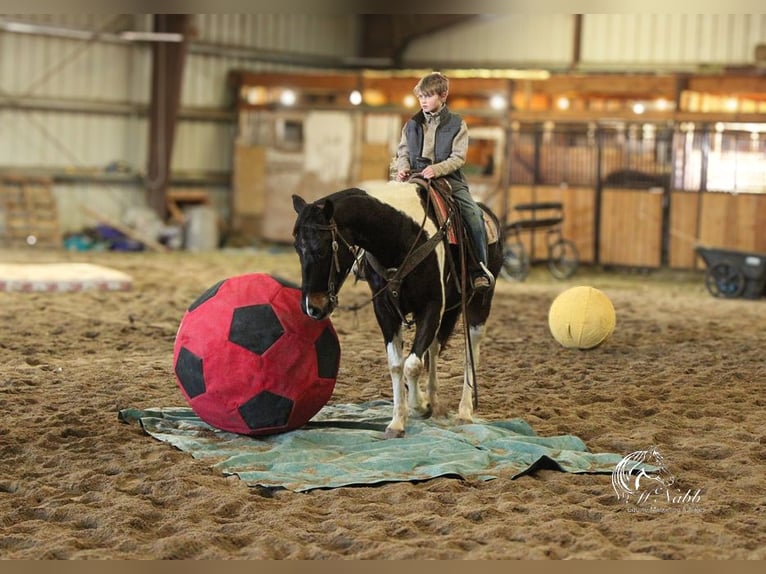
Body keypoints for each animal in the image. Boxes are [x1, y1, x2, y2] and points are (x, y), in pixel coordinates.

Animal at [292, 182, 504, 438]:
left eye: (321, 250)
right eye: (297, 248)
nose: (312, 307)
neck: (399, 236)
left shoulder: (431, 306)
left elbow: (412, 365)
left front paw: (419, 405)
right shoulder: (385, 311)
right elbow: (397, 365)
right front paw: (398, 422)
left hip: (478, 304)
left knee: (470, 350)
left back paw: (464, 411)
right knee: (434, 348)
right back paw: (435, 401)